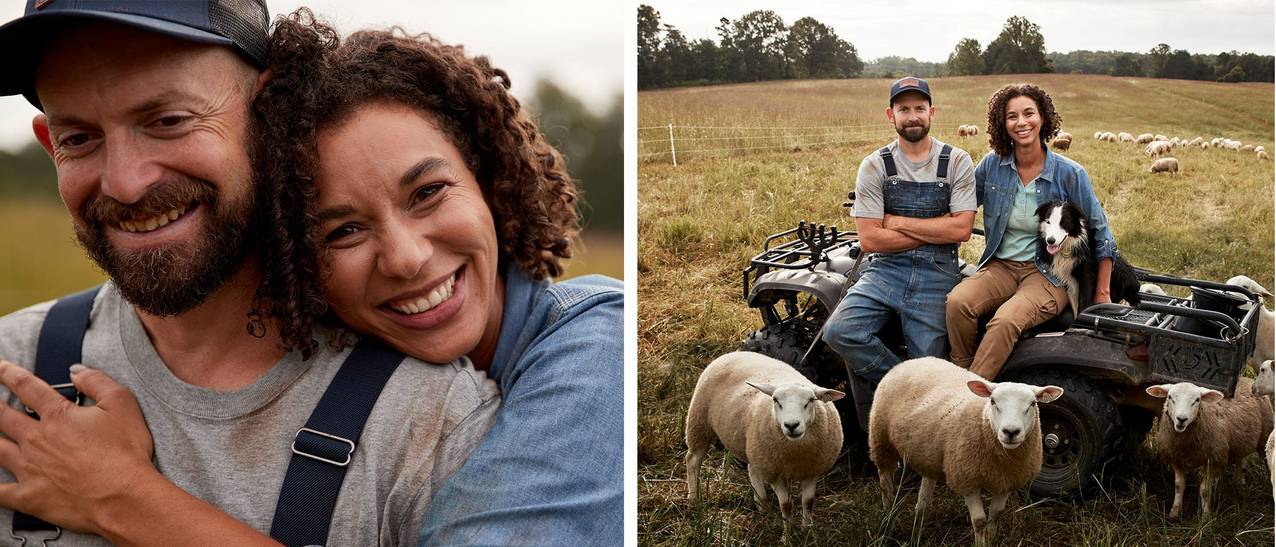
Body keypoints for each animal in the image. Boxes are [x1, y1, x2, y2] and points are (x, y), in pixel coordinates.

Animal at [683, 349, 842, 525]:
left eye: (811, 400)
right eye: (775, 400)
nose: (791, 425)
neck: (796, 454)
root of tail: (734, 353)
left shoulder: (812, 472)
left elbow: (808, 503)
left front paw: (808, 528)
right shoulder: (775, 474)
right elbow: (786, 505)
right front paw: (788, 530)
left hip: (753, 448)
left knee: (752, 469)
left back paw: (762, 506)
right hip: (699, 423)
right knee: (693, 460)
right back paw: (693, 498)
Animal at [867, 357, 1066, 543]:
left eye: (1032, 403)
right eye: (993, 401)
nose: (1011, 432)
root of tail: (912, 361)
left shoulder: (1007, 481)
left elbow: (995, 516)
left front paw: (990, 540)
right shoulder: (966, 479)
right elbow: (979, 521)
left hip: (928, 455)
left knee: (924, 496)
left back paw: (918, 528)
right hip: (881, 440)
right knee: (885, 485)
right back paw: (887, 524)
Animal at [1143, 377, 1270, 517]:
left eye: (1197, 400)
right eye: (1170, 397)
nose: (1181, 419)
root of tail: (1246, 379)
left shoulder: (1212, 460)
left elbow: (1204, 490)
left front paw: (1206, 516)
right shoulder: (1177, 458)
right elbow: (1178, 486)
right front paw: (1174, 512)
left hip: (1265, 436)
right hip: (1240, 441)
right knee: (1240, 458)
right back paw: (1239, 482)